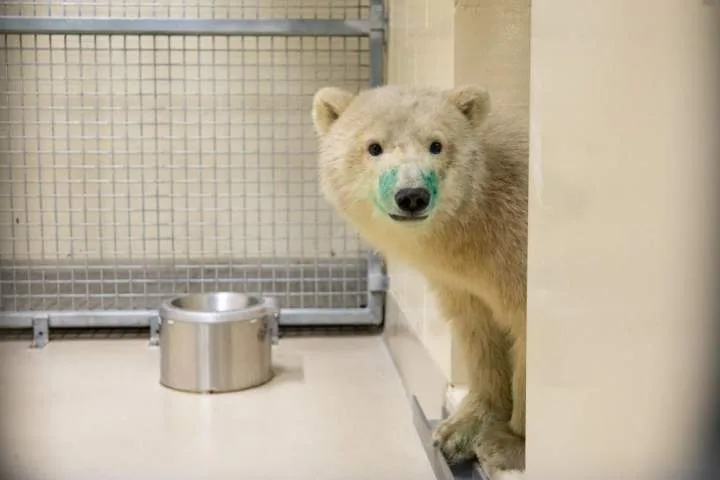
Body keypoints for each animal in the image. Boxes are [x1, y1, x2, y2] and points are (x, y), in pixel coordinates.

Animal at [311, 84, 528, 475]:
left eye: (436, 145)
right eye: (374, 147)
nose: (412, 196)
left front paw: (507, 444)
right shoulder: (465, 281)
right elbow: (479, 330)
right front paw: (459, 430)